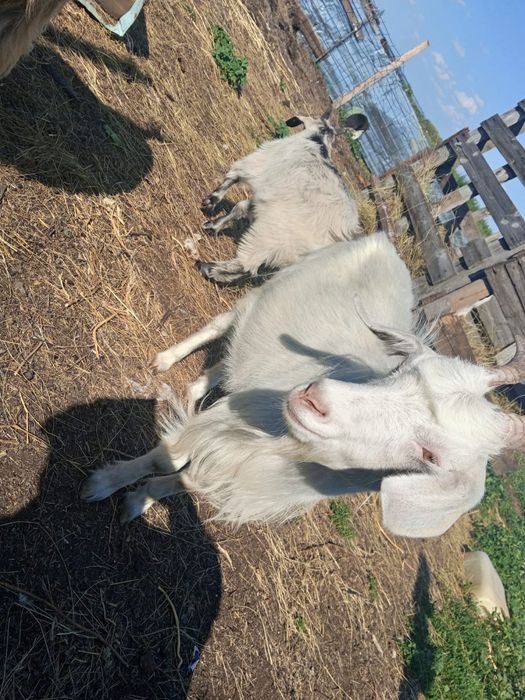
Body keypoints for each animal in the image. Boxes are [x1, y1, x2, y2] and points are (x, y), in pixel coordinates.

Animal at [83, 233, 525, 537]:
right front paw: (103, 486)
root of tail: (386, 245)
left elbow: (185, 479)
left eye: (431, 455)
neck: (288, 451)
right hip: (266, 293)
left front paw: (138, 501)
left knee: (229, 365)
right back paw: (167, 359)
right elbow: (168, 458)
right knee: (222, 325)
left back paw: (196, 390)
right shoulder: (229, 423)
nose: (315, 397)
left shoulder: (253, 474)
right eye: (399, 370)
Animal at [196, 109, 368, 284]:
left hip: (272, 236)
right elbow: (241, 207)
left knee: (245, 264)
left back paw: (206, 267)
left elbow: (231, 180)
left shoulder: (252, 166)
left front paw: (210, 204)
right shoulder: (268, 197)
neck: (317, 140)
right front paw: (213, 225)